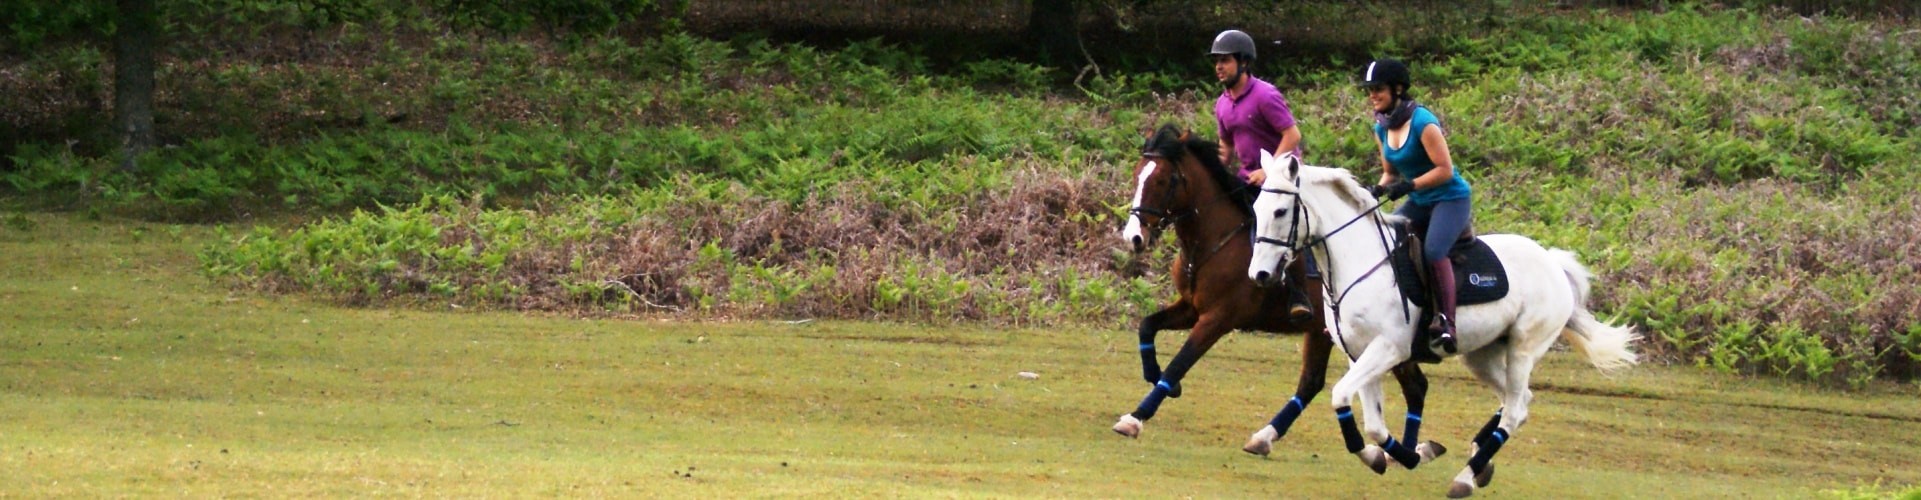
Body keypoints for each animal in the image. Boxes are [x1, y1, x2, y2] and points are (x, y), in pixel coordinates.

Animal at [1114, 125, 1444, 473]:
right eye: (1137, 175)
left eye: (1162, 181)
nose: (1133, 237)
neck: (1213, 241)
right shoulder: (1191, 308)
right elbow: (1147, 327)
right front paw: (1156, 379)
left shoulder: (1218, 317)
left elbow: (1181, 362)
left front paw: (1136, 417)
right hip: (1325, 333)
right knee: (1313, 383)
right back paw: (1266, 438)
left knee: (1414, 386)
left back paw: (1407, 451)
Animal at [1244, 151, 1636, 500]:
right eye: (1256, 209)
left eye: (1280, 211)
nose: (1259, 275)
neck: (1358, 262)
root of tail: (1553, 262)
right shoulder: (1360, 354)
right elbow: (1374, 425)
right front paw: (1395, 455)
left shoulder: (1389, 349)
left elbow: (1341, 396)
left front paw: (1412, 453)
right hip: (1481, 355)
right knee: (1519, 401)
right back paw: (1478, 463)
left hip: (1523, 349)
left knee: (1514, 410)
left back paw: (1465, 477)